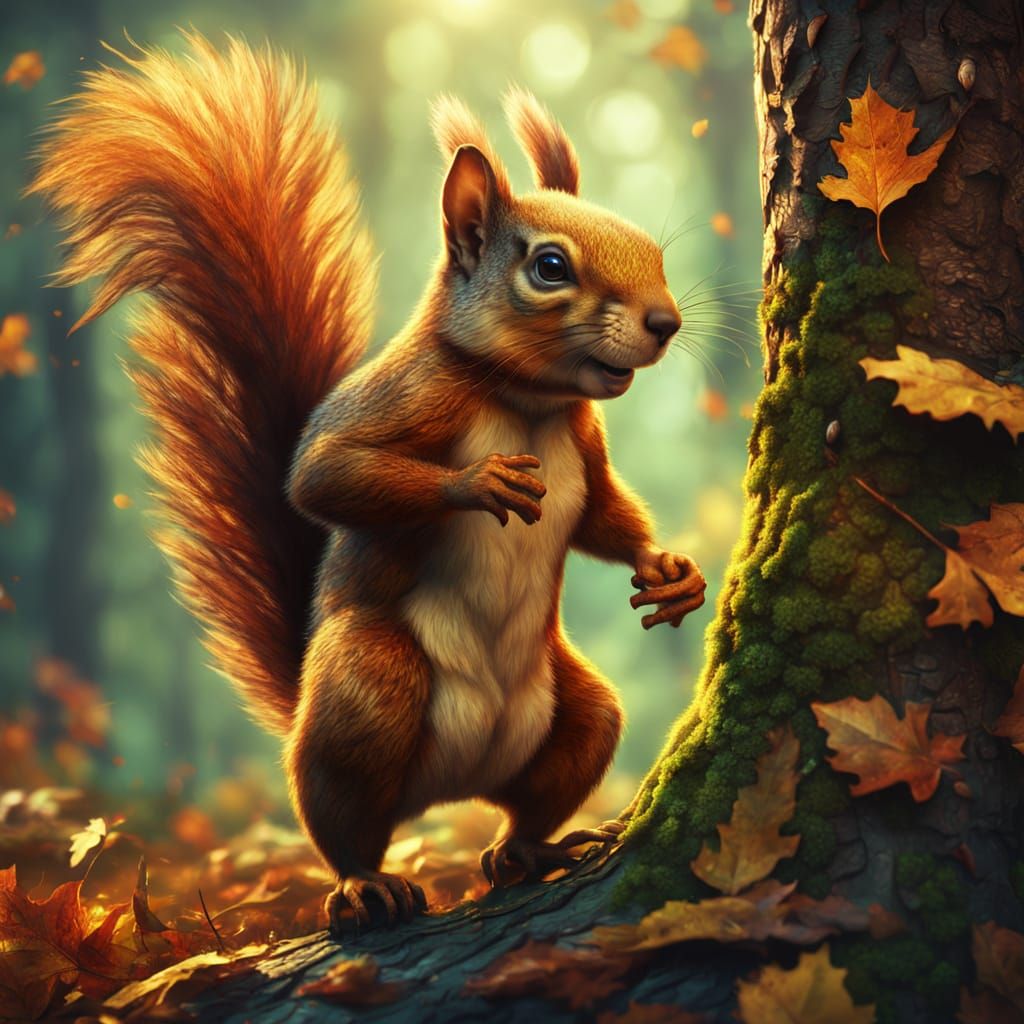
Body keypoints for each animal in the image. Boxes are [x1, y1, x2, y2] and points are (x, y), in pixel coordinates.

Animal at [32, 33, 707, 932]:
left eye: (655, 252)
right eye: (549, 266)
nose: (665, 322)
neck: (527, 402)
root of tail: (443, 795)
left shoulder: (587, 447)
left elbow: (605, 515)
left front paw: (671, 573)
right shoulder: (408, 394)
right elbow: (320, 475)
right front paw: (480, 484)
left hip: (573, 710)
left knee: (541, 787)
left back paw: (530, 851)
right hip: (369, 684)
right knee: (346, 819)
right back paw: (367, 884)